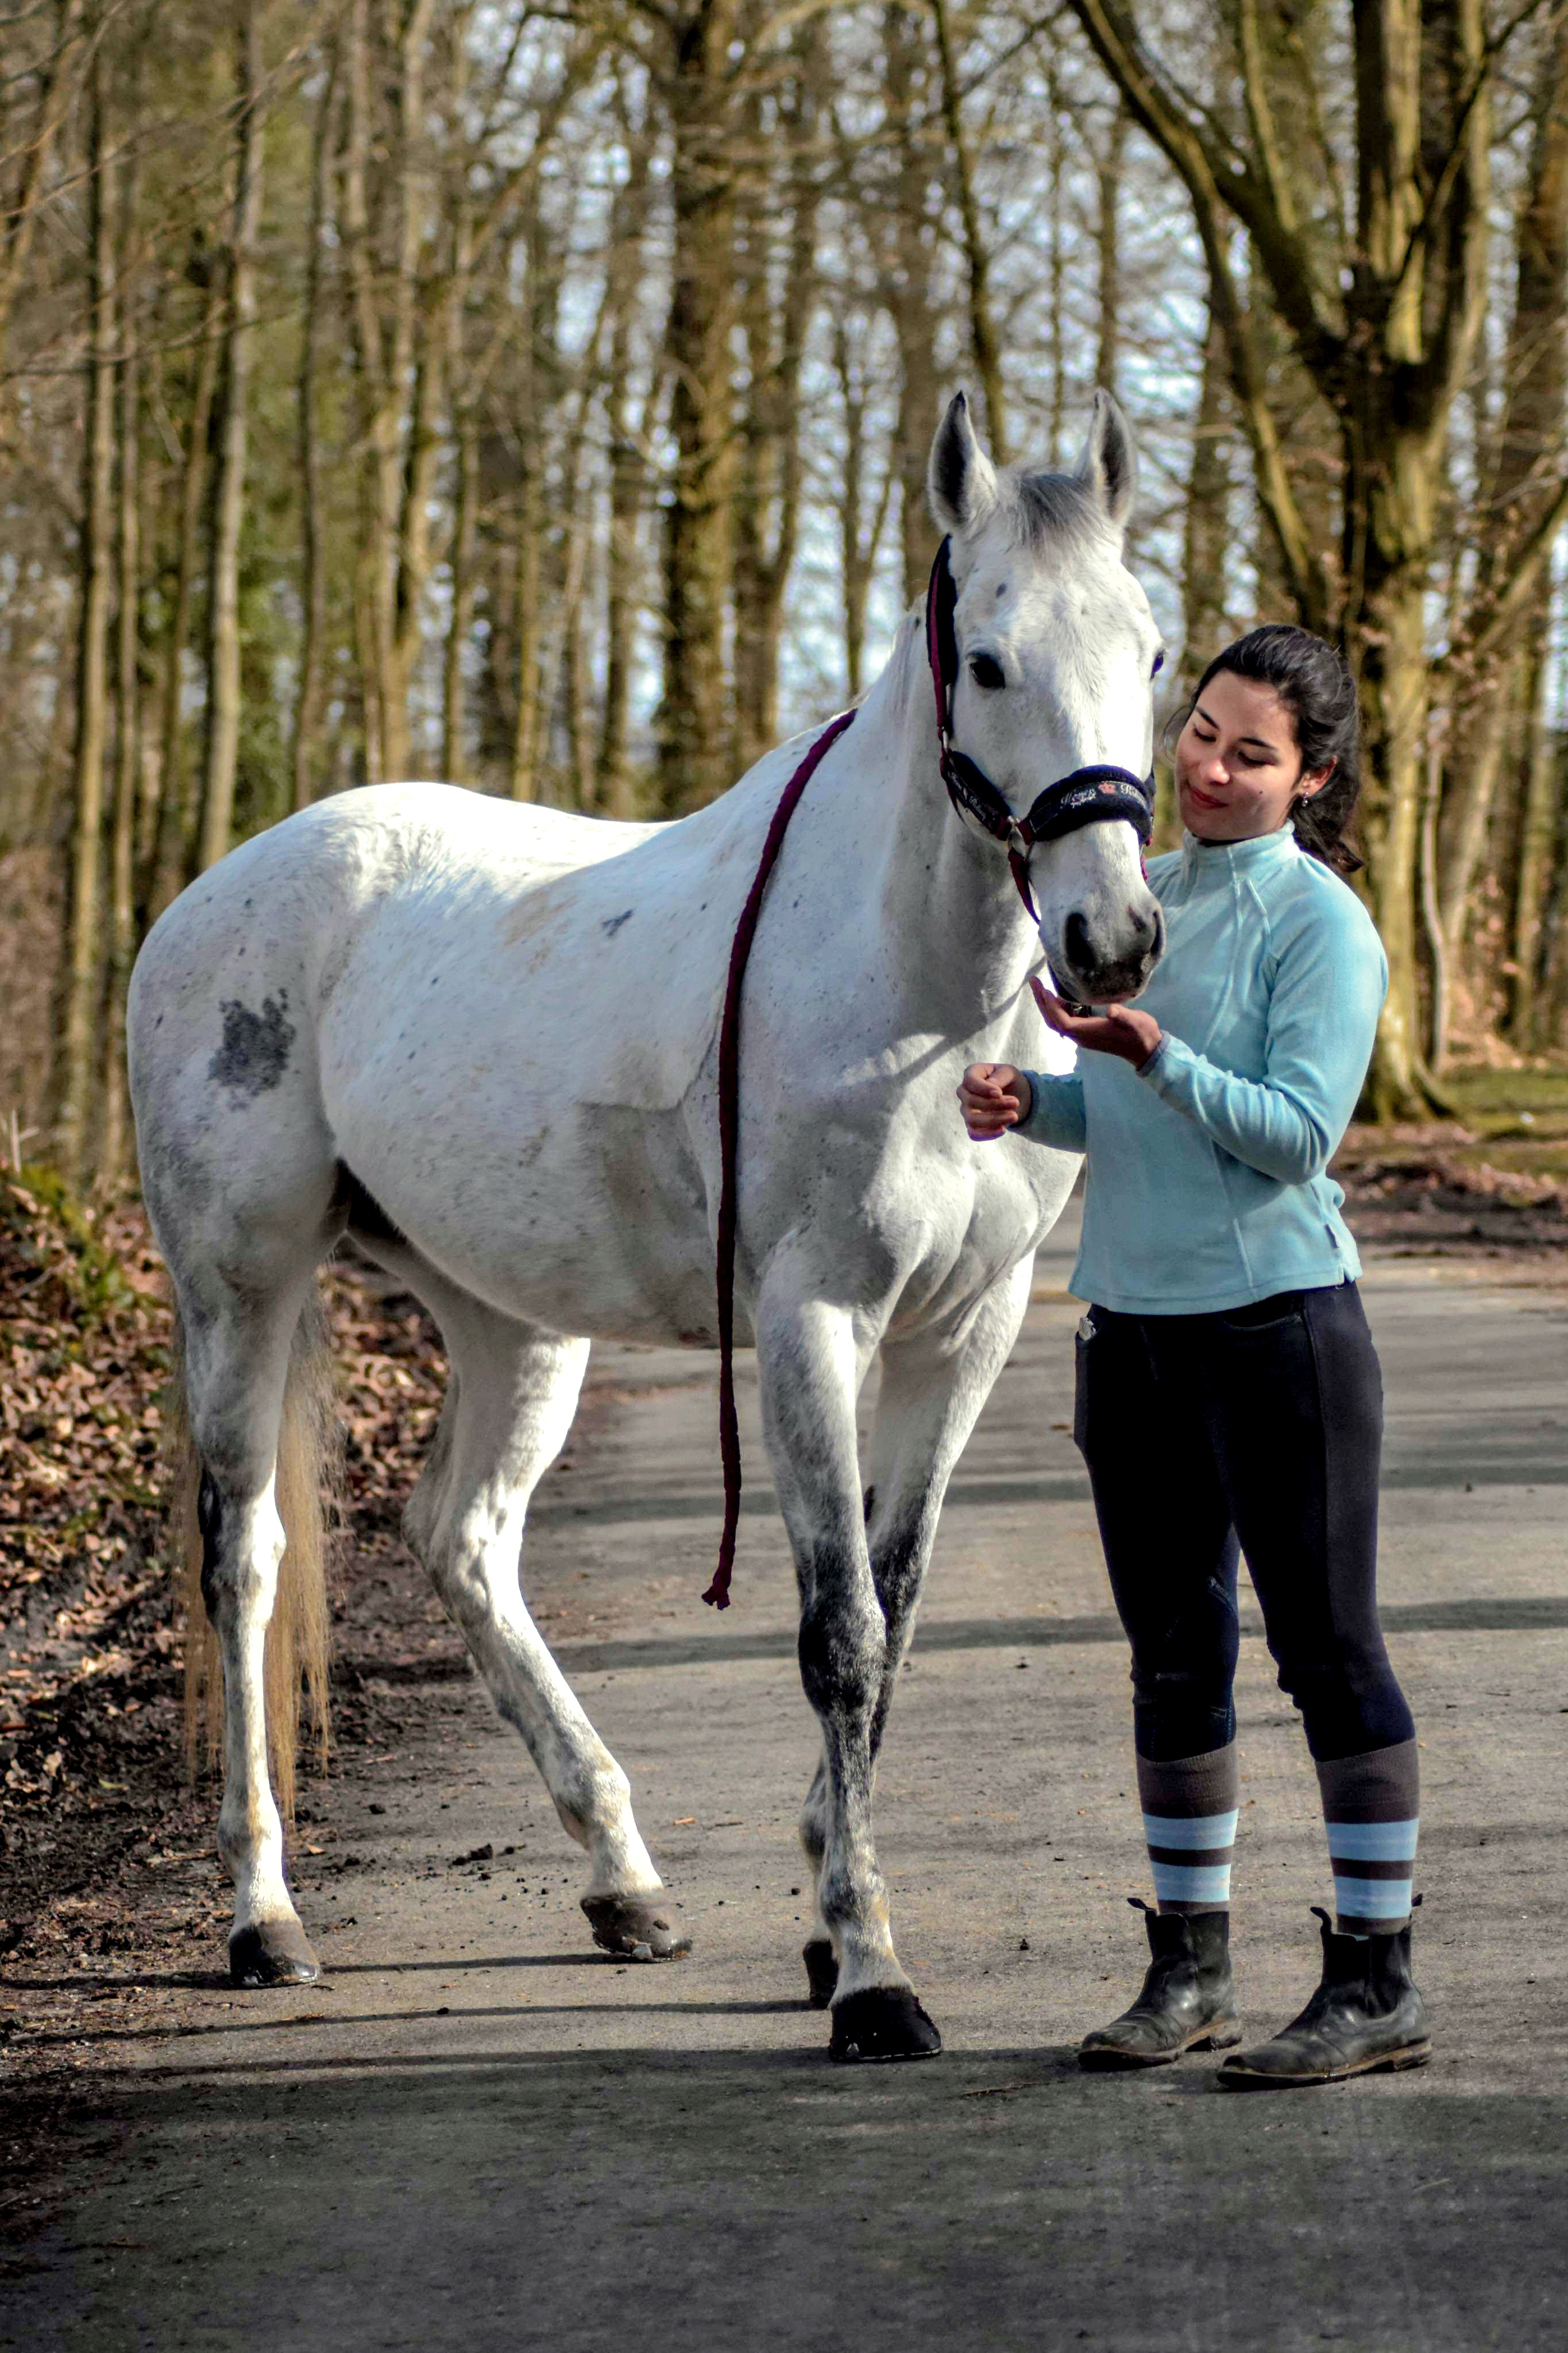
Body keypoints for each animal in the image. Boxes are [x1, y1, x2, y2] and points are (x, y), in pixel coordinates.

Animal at [128, 389, 1166, 2062]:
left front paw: (824, 1919)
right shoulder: (814, 1322)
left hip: (512, 1321)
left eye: (1149, 649)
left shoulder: (965, 1332)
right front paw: (869, 1973)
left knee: (464, 1542)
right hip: (242, 1287)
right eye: (995, 659)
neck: (915, 999)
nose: (1113, 937)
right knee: (249, 1561)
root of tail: (209, 895)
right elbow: (837, 1631)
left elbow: (895, 1611)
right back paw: (264, 1916)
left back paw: (623, 1877)